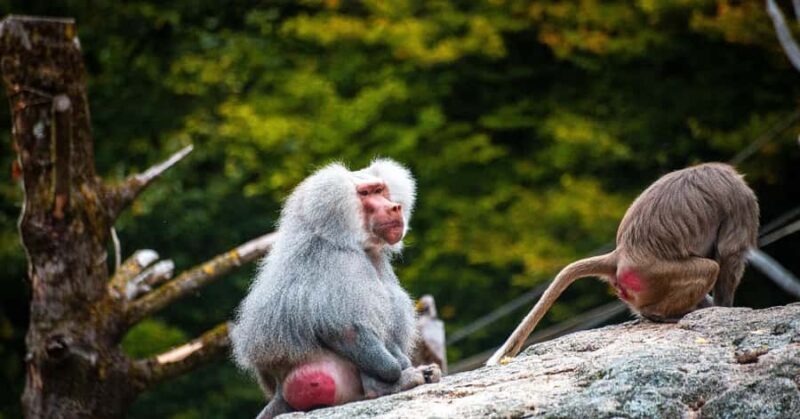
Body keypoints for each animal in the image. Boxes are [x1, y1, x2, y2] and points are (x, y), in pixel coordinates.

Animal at [230, 159, 441, 418]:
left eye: (380, 189)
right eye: (365, 193)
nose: (394, 208)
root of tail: (279, 393)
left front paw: (414, 367)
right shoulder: (342, 262)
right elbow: (342, 329)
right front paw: (398, 373)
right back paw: (385, 387)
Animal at [486, 163, 759, 366]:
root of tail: (620, 255)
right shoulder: (742, 200)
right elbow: (729, 254)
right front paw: (725, 308)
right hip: (656, 275)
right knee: (710, 268)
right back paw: (661, 315)